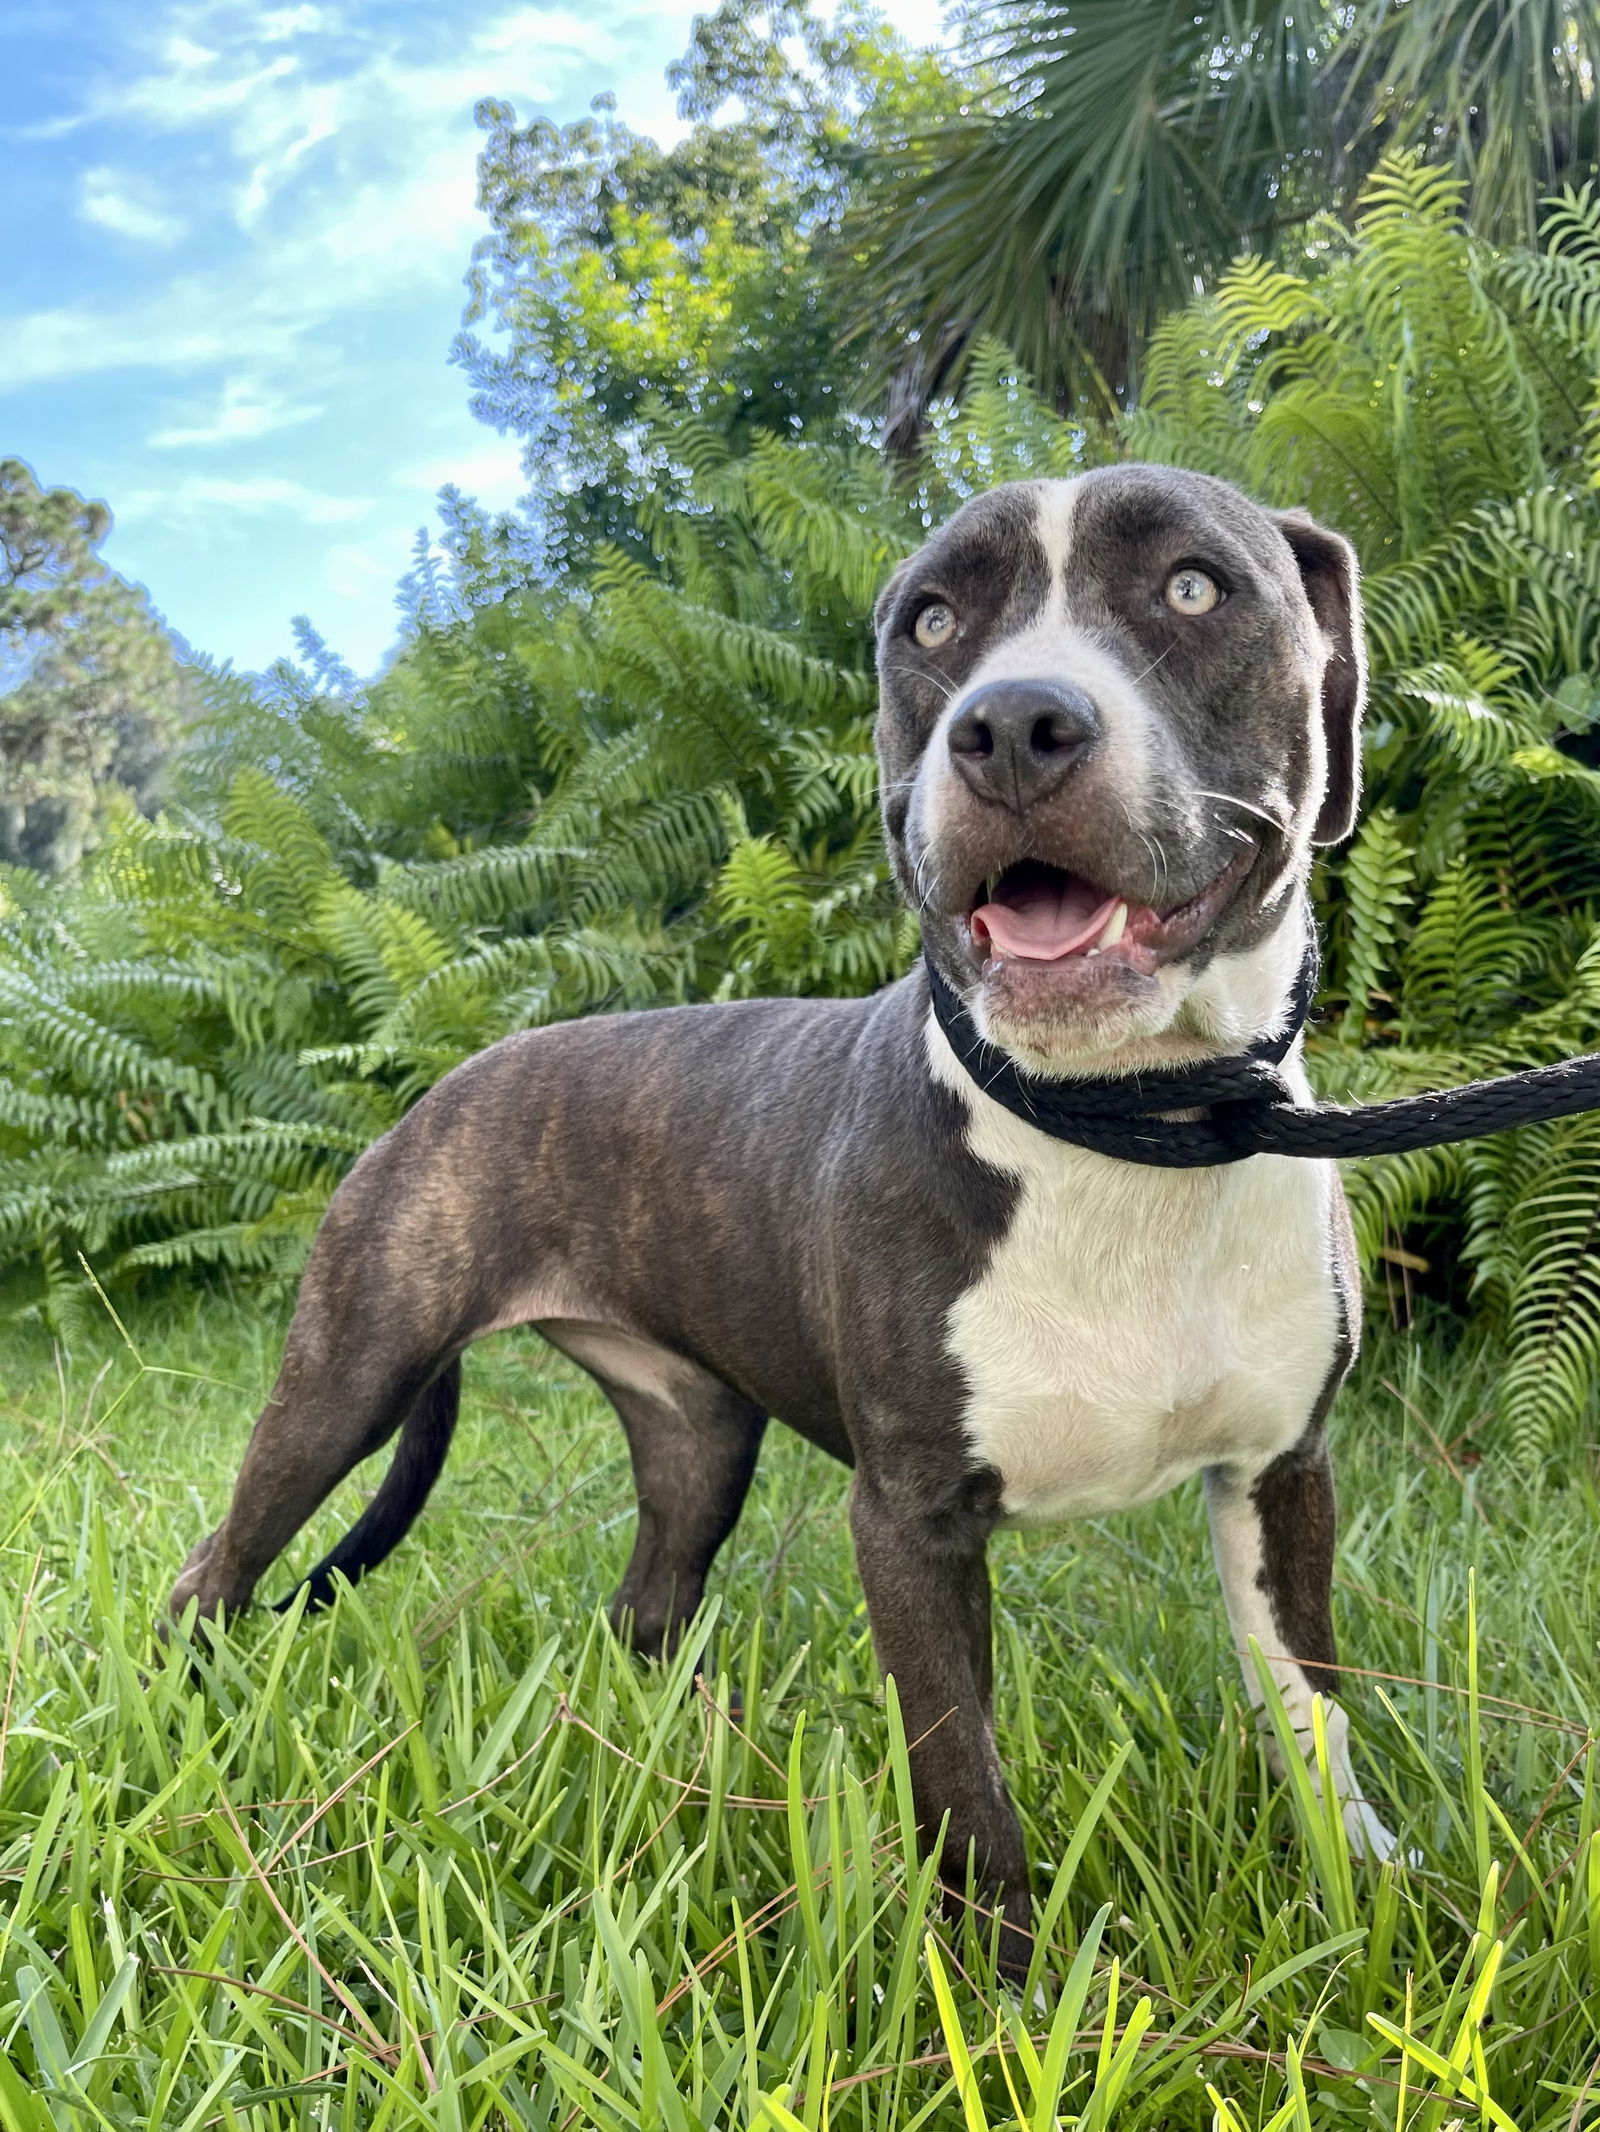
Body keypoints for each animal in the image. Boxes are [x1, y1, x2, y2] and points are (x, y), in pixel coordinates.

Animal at [174, 466, 1399, 1961]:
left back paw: (687, 1763)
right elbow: (964, 1779)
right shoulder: (911, 1524)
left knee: (644, 1609)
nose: (1011, 724)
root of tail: (451, 1077)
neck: (1131, 1131)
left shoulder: (1281, 1473)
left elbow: (1312, 1713)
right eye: (930, 621)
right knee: (218, 1566)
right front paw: (1002, 1989)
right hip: (345, 1378)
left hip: (698, 1438)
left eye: (1191, 587)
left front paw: (1373, 1897)